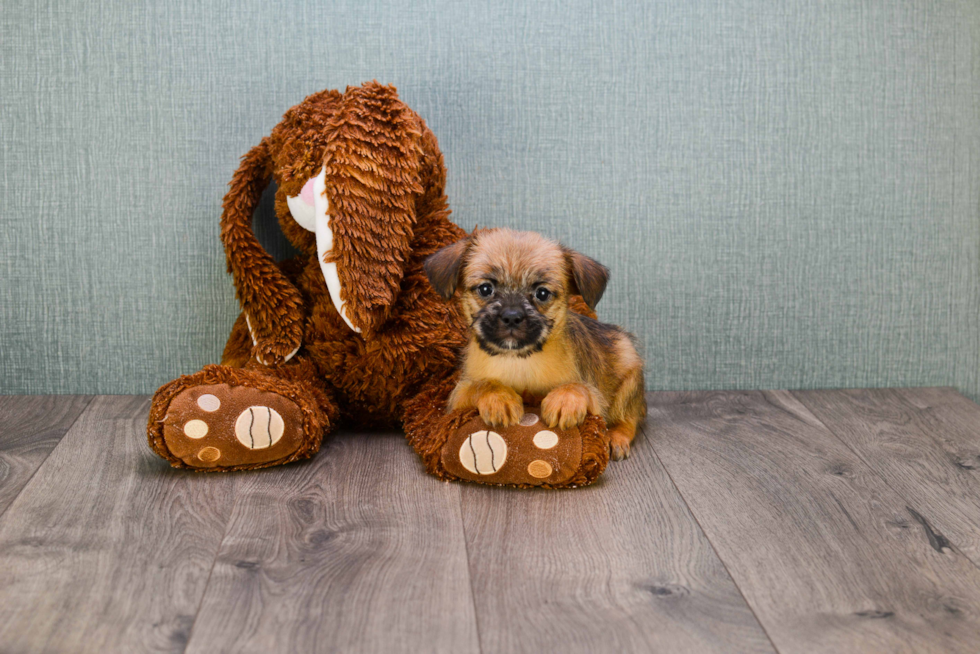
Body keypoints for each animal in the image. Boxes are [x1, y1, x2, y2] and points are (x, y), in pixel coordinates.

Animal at [424, 231, 648, 462]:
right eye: (486, 289)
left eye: (542, 293)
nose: (512, 316)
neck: (519, 359)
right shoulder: (458, 397)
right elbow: (483, 384)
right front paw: (499, 398)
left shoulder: (596, 401)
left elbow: (578, 387)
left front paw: (565, 400)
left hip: (630, 378)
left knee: (629, 419)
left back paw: (616, 438)